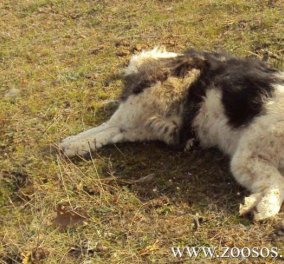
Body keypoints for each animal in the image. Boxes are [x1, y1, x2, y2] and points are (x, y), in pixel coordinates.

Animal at [59, 47, 284, 221]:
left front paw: (258, 203)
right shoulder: (246, 157)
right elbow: (277, 179)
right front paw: (265, 206)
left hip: (153, 127)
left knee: (116, 131)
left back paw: (78, 145)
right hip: (158, 90)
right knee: (111, 122)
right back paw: (71, 144)